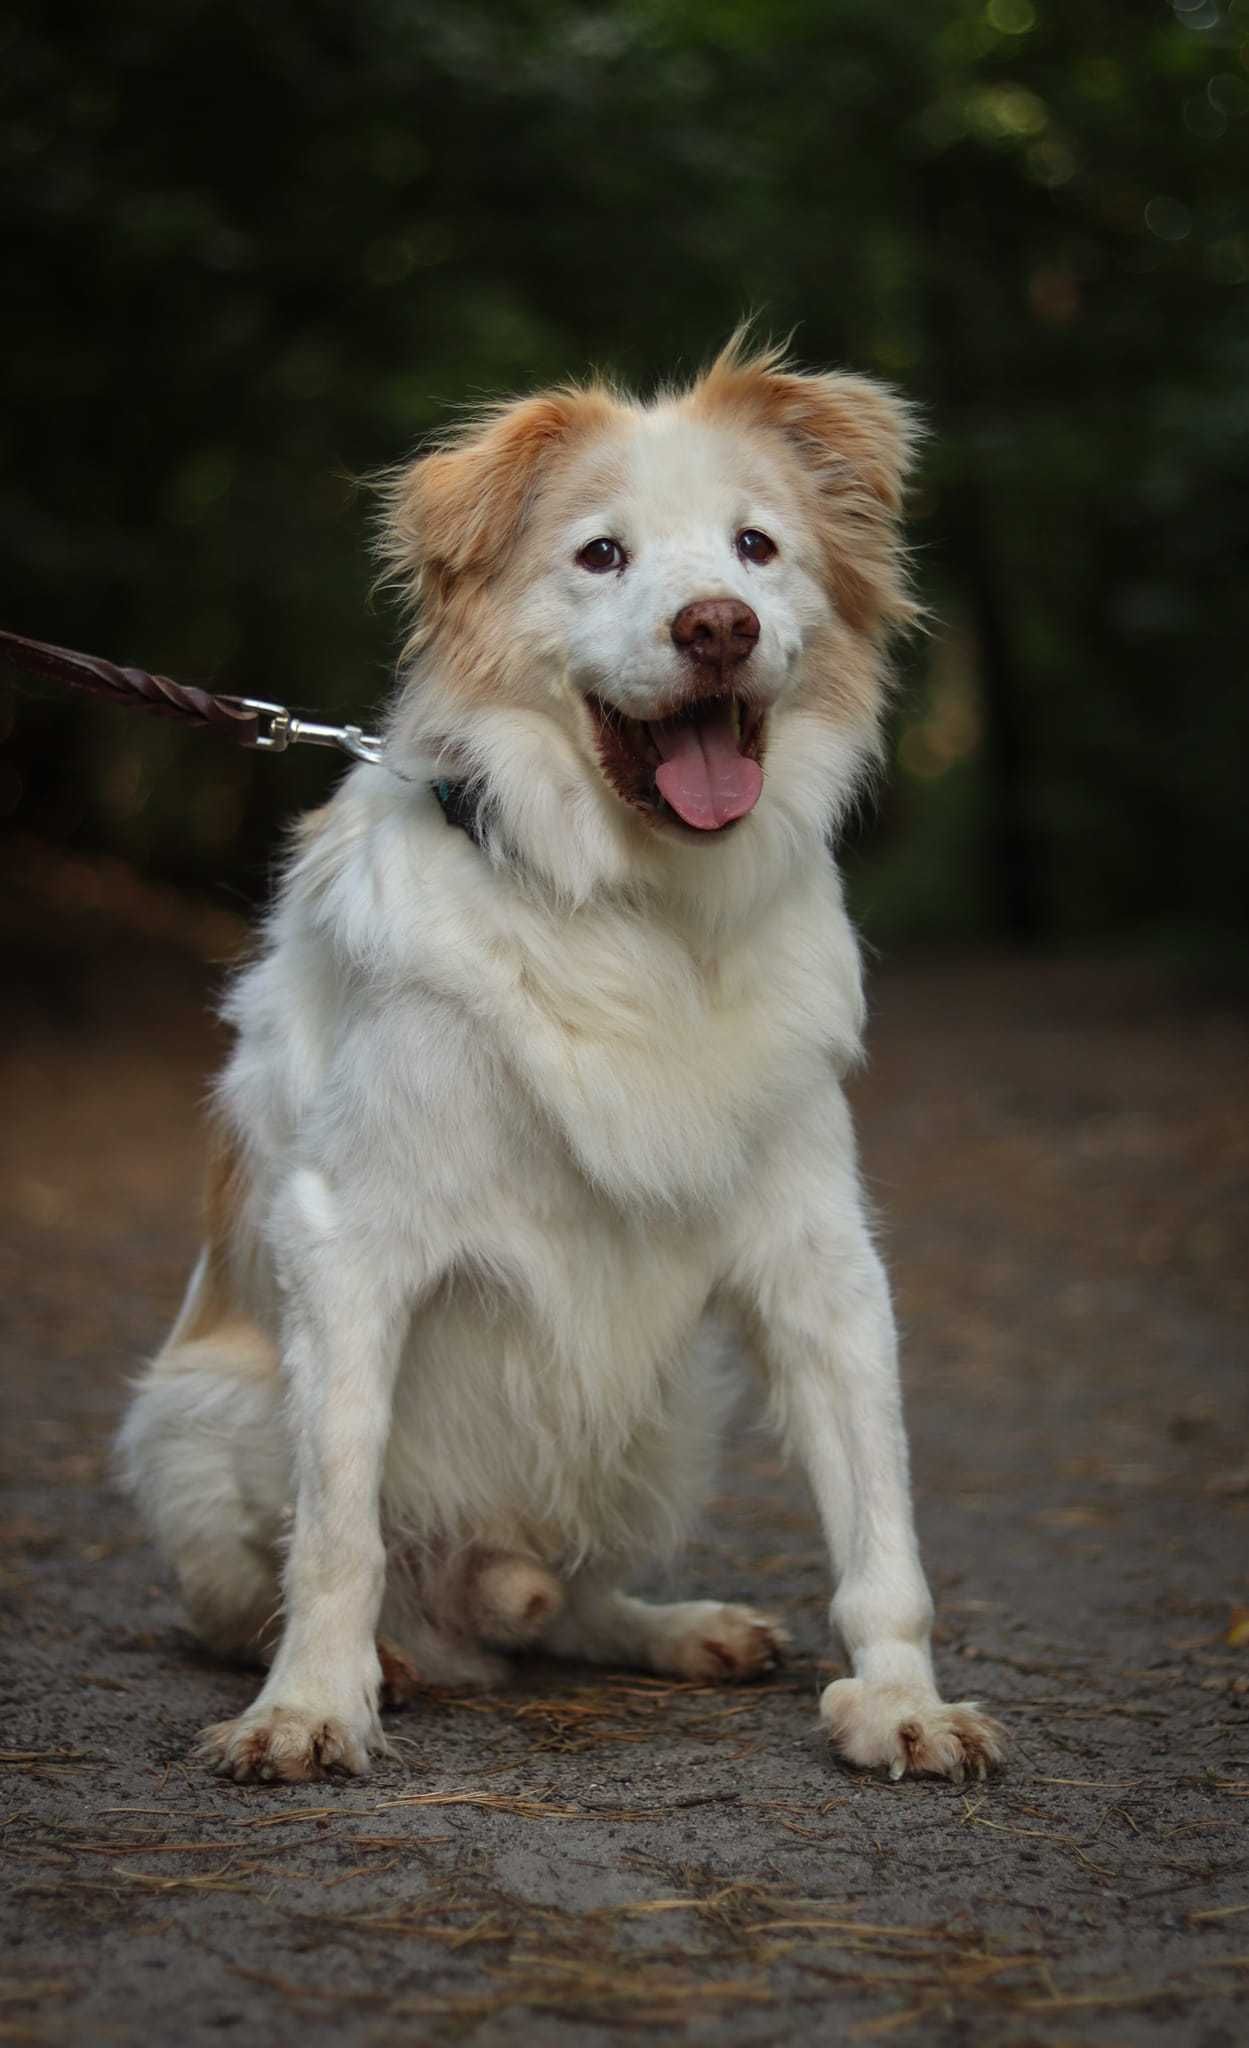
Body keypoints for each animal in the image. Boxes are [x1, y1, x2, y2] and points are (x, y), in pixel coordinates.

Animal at [116, 335, 1003, 1777]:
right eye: (600, 555)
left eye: (755, 546)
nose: (716, 626)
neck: (636, 912)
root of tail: (488, 1575)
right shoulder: (347, 1243)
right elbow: (336, 1529)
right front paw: (310, 1706)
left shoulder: (819, 1258)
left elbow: (882, 1533)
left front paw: (899, 1702)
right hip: (196, 1420)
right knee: (283, 1585)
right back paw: (385, 1660)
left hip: (668, 1414)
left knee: (572, 1601)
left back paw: (669, 1626)